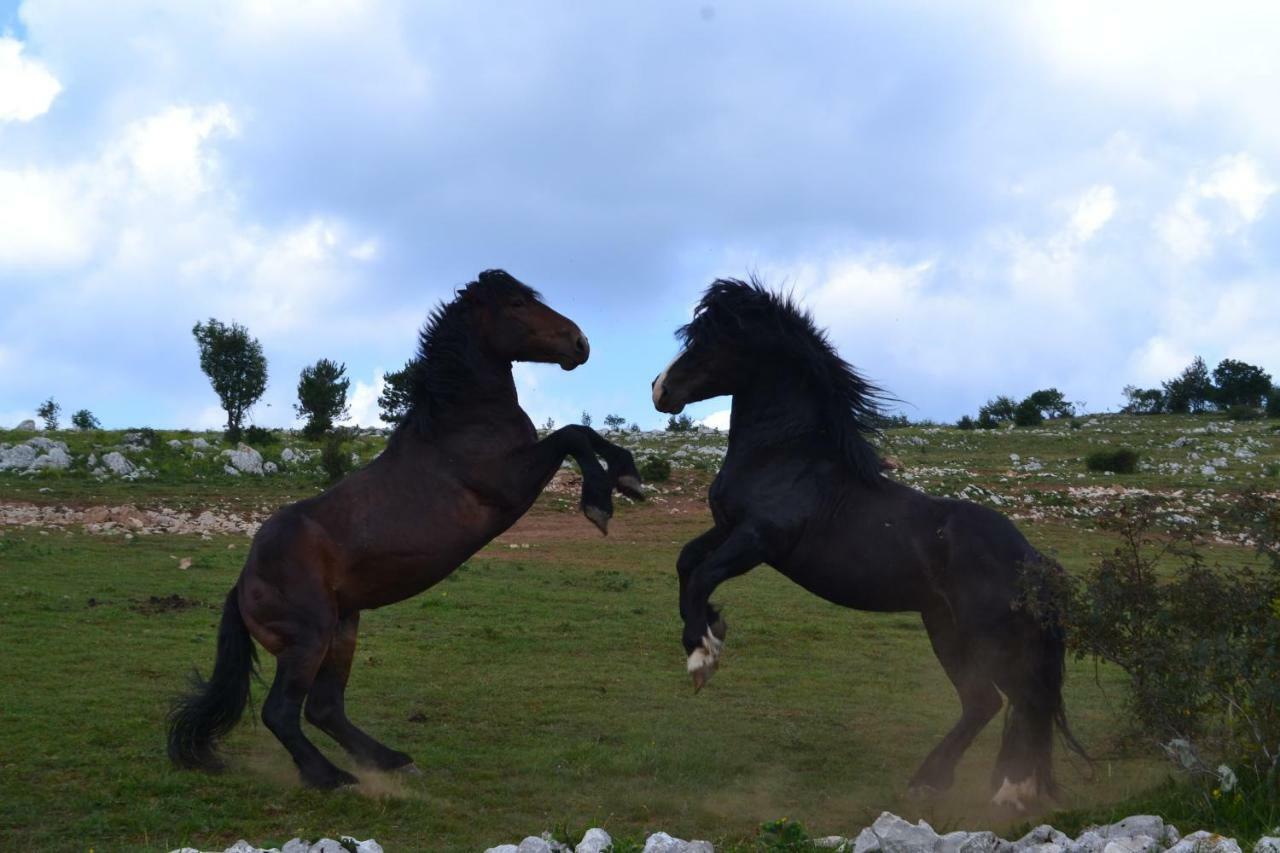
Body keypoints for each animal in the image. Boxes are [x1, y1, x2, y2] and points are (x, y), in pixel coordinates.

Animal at [170, 268, 645, 788]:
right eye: (518, 303)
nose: (580, 343)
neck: (461, 422)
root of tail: (242, 584)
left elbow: (586, 433)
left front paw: (629, 478)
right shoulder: (509, 485)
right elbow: (573, 435)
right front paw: (599, 502)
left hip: (343, 629)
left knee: (324, 708)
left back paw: (390, 760)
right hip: (308, 639)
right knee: (282, 712)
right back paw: (332, 777)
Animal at [655, 280, 1085, 809]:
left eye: (712, 341)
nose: (660, 390)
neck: (785, 456)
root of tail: (1034, 560)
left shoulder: (758, 541)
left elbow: (702, 576)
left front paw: (702, 658)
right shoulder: (727, 528)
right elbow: (686, 565)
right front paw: (712, 628)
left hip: (989, 635)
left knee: (1023, 699)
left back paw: (1008, 790)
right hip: (944, 627)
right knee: (985, 702)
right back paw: (933, 781)